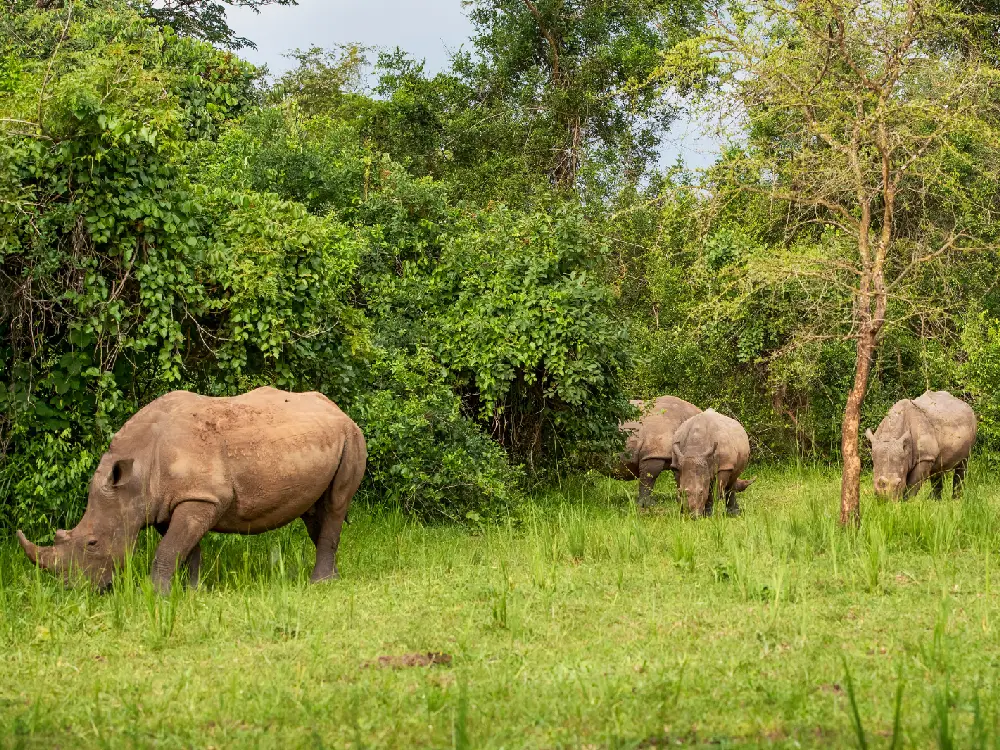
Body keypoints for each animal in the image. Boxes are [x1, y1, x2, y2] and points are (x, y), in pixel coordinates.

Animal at [17, 387, 367, 594]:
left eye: (92, 543)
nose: (74, 591)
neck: (135, 476)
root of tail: (340, 411)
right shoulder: (170, 501)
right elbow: (185, 549)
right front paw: (191, 592)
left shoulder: (201, 497)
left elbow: (169, 549)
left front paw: (154, 595)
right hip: (322, 440)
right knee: (314, 513)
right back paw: (333, 577)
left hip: (352, 437)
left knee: (335, 505)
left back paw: (320, 583)